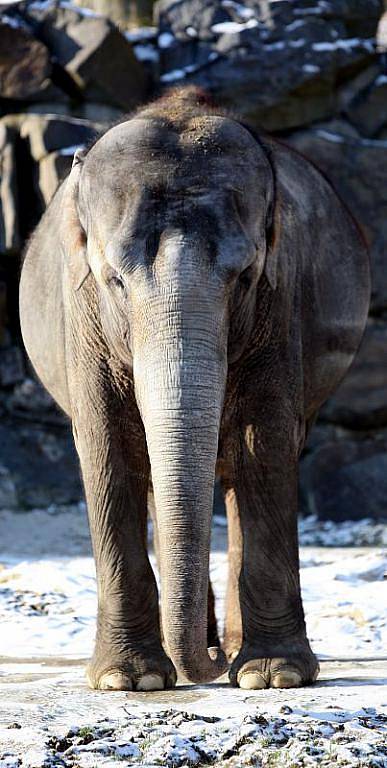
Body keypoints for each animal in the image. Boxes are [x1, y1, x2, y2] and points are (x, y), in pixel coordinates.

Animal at [19, 87, 372, 692]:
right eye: (114, 279)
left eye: (246, 276)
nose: (206, 667)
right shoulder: (80, 314)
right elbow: (107, 445)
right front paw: (130, 681)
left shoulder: (282, 301)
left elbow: (265, 442)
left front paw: (273, 675)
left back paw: (235, 654)